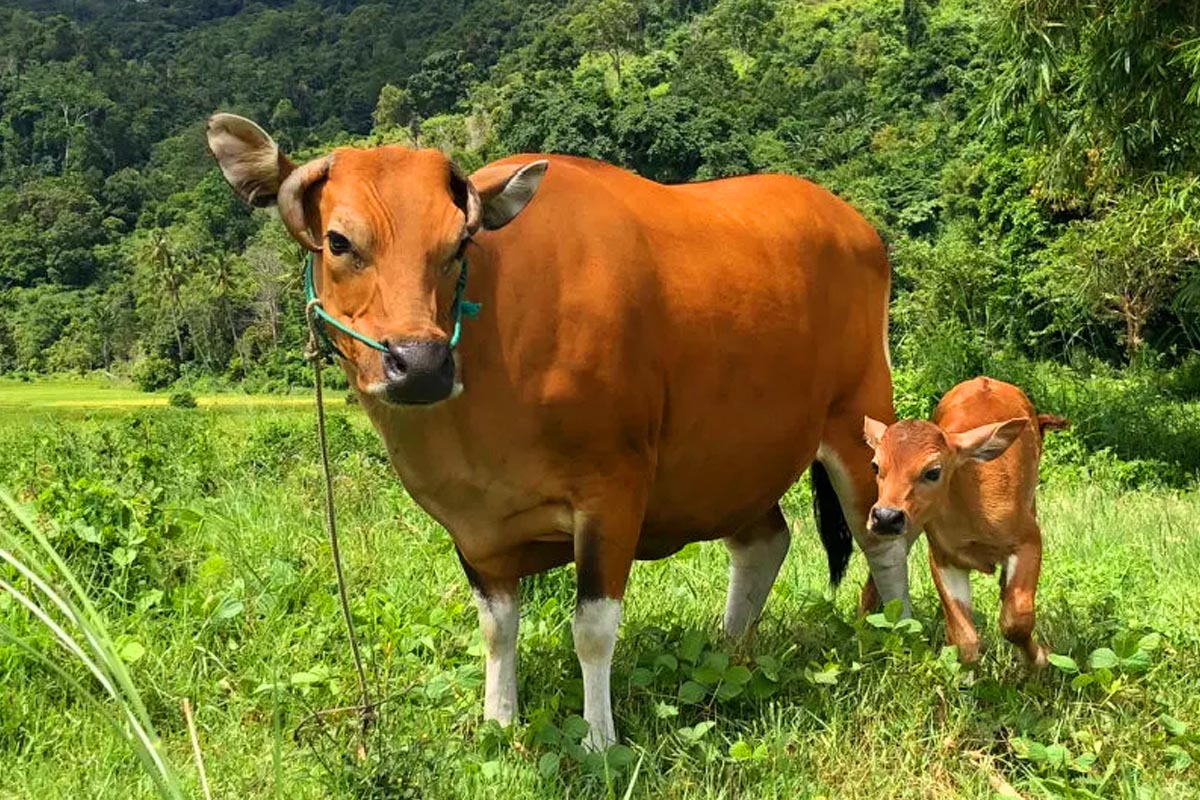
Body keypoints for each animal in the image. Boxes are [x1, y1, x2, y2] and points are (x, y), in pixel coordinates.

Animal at [206, 113, 902, 753]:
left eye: (457, 245)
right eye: (339, 241)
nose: (420, 364)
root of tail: (857, 227)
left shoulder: (612, 493)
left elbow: (591, 629)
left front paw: (598, 738)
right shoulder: (475, 529)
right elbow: (497, 627)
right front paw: (498, 721)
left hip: (858, 419)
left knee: (880, 538)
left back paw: (899, 639)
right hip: (732, 462)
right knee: (764, 542)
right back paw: (725, 653)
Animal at [864, 379, 1070, 666]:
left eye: (933, 471)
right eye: (875, 465)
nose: (885, 517)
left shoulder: (1029, 538)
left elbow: (1016, 620)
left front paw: (1040, 658)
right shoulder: (942, 556)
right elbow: (965, 639)